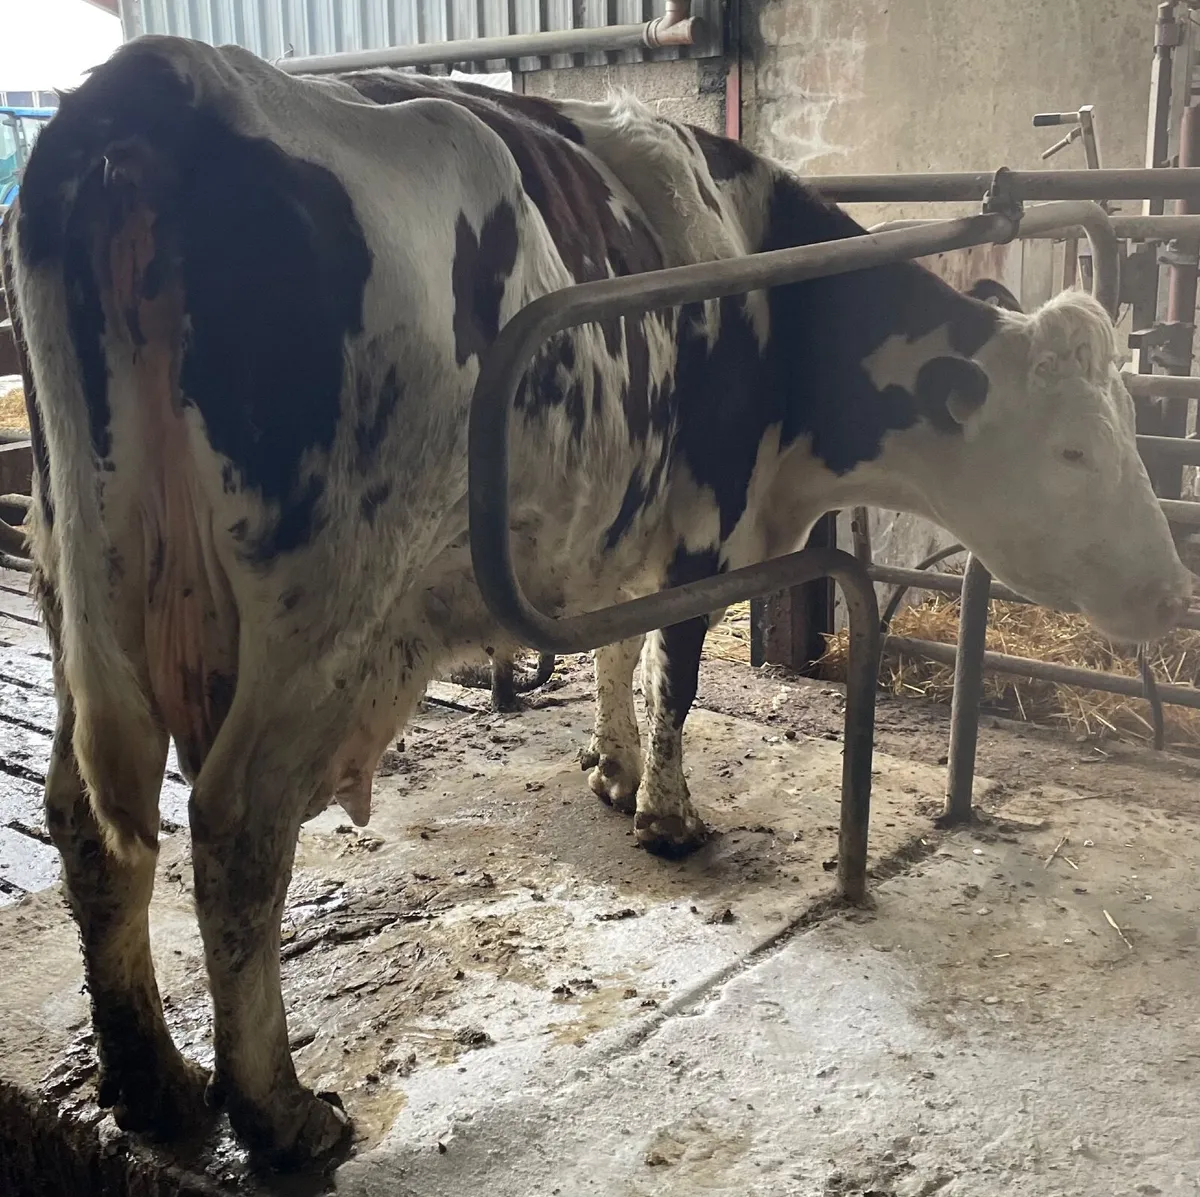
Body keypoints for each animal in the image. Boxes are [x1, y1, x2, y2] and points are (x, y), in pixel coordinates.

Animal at [3, 35, 1190, 1167]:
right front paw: (667, 811)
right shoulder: (707, 518)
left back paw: (151, 1080)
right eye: (1073, 449)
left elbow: (620, 653)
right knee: (239, 826)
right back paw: (279, 1113)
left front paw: (612, 769)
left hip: (81, 574)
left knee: (88, 817)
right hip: (324, 608)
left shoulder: (631, 510)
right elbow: (677, 670)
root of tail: (157, 85)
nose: (1174, 590)